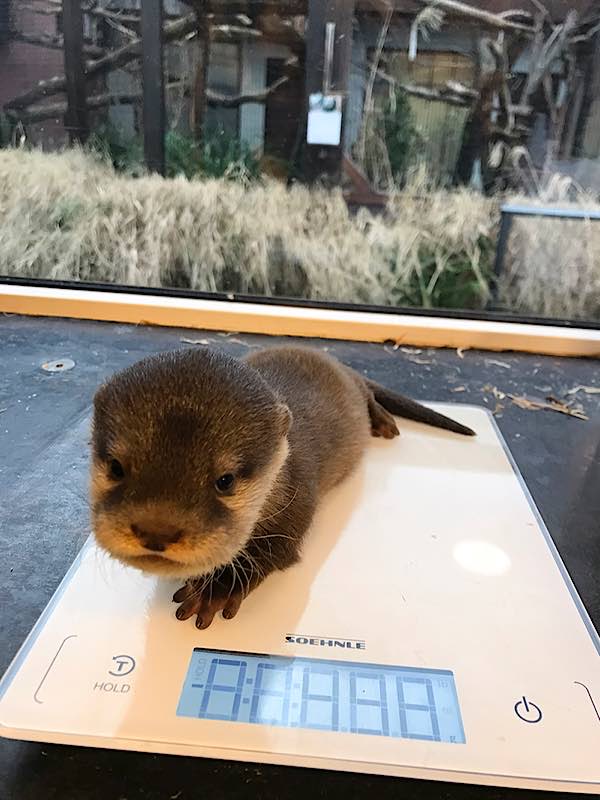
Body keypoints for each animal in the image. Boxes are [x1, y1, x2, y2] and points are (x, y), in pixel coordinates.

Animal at [90, 346, 474, 628]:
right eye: (116, 467)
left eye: (225, 480)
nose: (156, 530)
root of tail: (331, 359)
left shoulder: (298, 501)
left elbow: (274, 550)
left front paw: (216, 589)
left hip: (356, 390)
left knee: (368, 394)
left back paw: (383, 422)